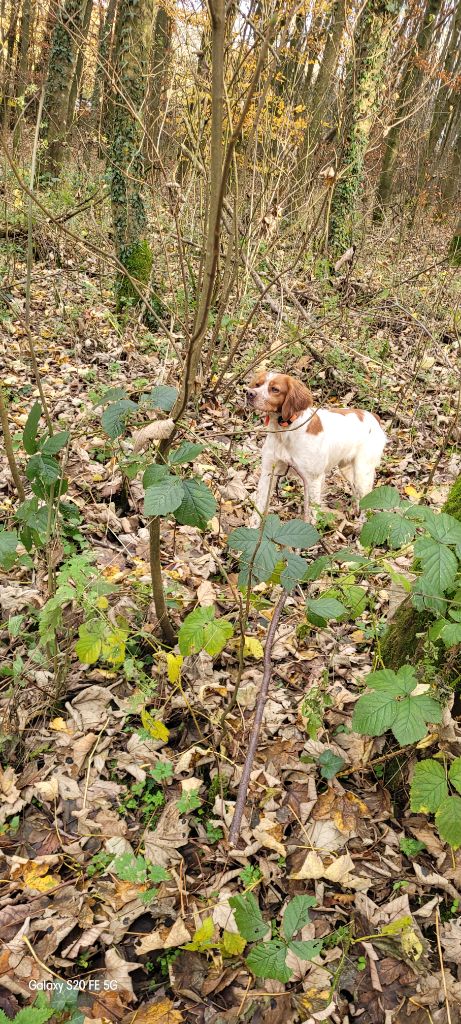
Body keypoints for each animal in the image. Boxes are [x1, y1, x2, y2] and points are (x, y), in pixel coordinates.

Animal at [246, 370, 387, 528]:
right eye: (257, 384)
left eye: (275, 389)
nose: (249, 393)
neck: (286, 431)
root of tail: (373, 416)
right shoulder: (268, 471)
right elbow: (259, 506)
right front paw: (252, 528)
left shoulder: (313, 478)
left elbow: (312, 512)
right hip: (347, 469)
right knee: (357, 493)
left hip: (363, 472)